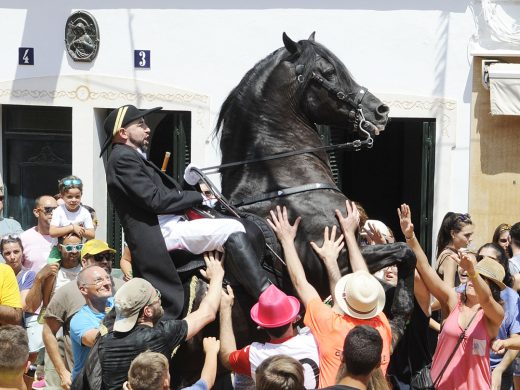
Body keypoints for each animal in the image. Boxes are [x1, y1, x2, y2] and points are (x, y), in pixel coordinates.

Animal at [173, 33, 416, 390]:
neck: (288, 179)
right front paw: (398, 312)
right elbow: (404, 252)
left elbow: (405, 252)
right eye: (328, 72)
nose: (380, 111)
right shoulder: (335, 261)